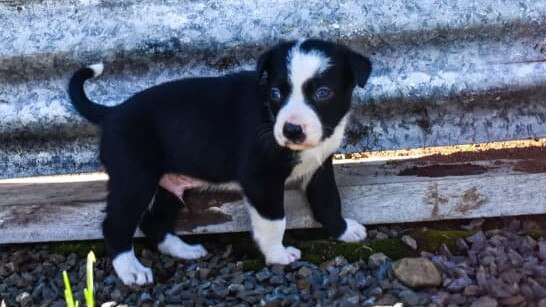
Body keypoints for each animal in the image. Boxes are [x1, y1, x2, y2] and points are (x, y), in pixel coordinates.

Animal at [68, 38, 372, 286]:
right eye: (276, 94)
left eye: (323, 93)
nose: (291, 130)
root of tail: (112, 113)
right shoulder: (260, 179)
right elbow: (274, 222)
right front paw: (277, 254)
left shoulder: (320, 167)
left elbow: (328, 199)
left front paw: (343, 231)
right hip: (135, 179)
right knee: (116, 225)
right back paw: (131, 271)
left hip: (169, 183)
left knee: (154, 222)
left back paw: (184, 251)